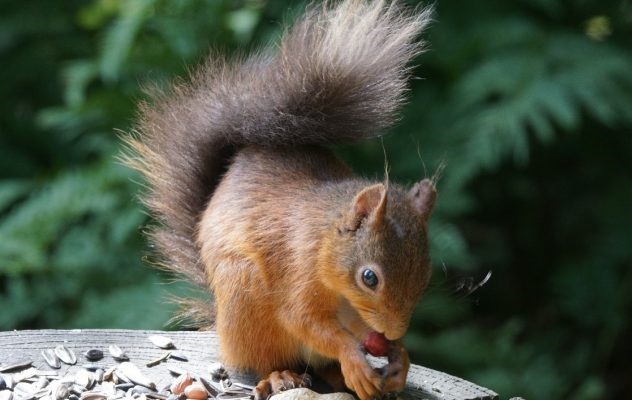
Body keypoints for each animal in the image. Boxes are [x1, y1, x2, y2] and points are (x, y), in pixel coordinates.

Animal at [126, 0, 436, 400]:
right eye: (369, 278)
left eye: (426, 275)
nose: (393, 332)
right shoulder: (297, 268)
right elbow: (302, 319)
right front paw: (353, 357)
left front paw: (400, 359)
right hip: (246, 301)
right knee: (266, 360)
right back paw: (281, 376)